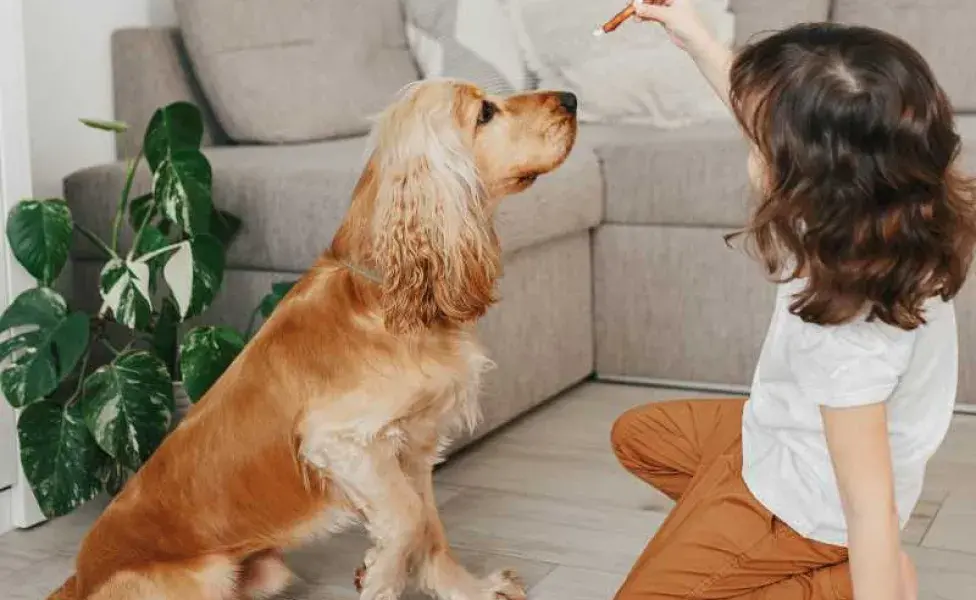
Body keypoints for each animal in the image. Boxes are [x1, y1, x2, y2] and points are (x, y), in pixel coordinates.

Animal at [47, 81, 580, 600]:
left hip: (265, 571)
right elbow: (408, 520)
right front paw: (379, 577)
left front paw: (469, 589)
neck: (386, 293)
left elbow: (430, 527)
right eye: (485, 112)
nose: (571, 100)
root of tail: (79, 577)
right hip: (207, 575)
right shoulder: (339, 441)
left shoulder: (413, 445)